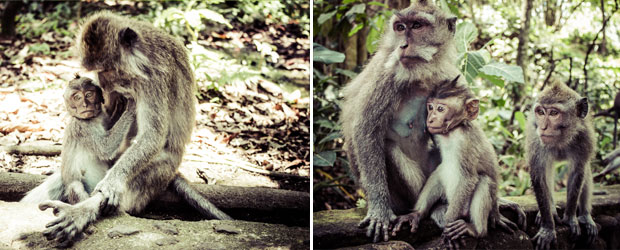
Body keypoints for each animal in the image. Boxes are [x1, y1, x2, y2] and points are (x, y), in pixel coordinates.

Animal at [38, 10, 232, 245]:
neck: (144, 57)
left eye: (108, 70)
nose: (103, 84)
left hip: (162, 170)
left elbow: (152, 136)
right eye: (99, 73)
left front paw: (109, 186)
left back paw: (82, 211)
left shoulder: (155, 80)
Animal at [392, 77, 520, 249]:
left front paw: (447, 228)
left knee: (483, 180)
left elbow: (468, 179)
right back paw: (417, 214)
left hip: (462, 208)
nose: (430, 119)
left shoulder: (465, 142)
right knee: (439, 172)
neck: (452, 132)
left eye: (440, 109)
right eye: (430, 107)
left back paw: (476, 230)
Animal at [524, 80, 600, 250]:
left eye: (553, 113)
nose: (543, 127)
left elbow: (578, 172)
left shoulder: (584, 137)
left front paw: (571, 219)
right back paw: (551, 210)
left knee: (586, 170)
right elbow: (539, 175)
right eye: (540, 112)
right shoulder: (536, 140)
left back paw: (585, 215)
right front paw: (547, 228)